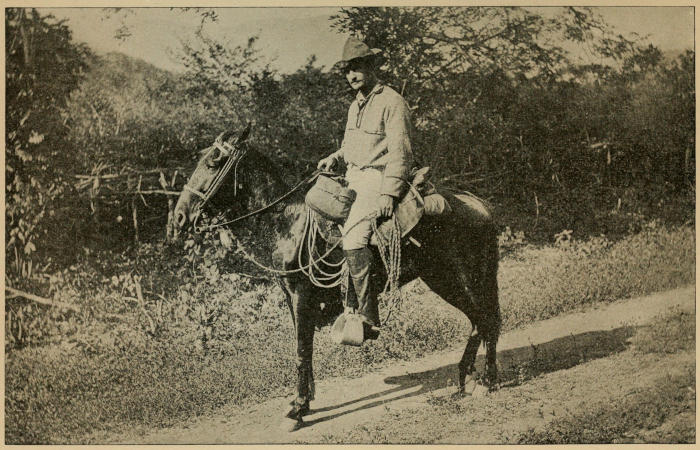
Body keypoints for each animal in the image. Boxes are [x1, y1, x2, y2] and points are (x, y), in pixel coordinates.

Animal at [173, 126, 501, 427]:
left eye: (214, 161)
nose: (179, 216)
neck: (286, 221)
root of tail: (478, 204)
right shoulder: (291, 297)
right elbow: (303, 348)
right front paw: (305, 400)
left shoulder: (301, 295)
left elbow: (302, 348)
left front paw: (298, 408)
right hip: (445, 279)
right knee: (480, 322)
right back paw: (467, 379)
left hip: (462, 277)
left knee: (486, 320)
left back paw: (486, 381)